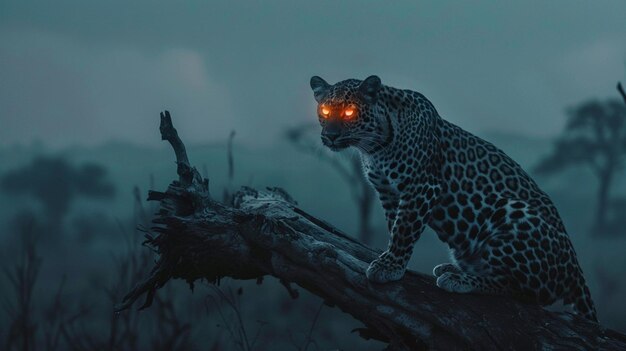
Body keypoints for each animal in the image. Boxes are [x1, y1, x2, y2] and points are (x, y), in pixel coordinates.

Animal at [310, 75, 596, 324]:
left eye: (349, 112)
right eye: (324, 111)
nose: (330, 135)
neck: (375, 146)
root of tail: (575, 268)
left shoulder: (422, 187)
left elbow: (404, 230)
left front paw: (389, 265)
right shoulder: (388, 193)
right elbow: (395, 226)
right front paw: (391, 259)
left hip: (512, 212)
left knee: (521, 291)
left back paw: (462, 280)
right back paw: (454, 270)